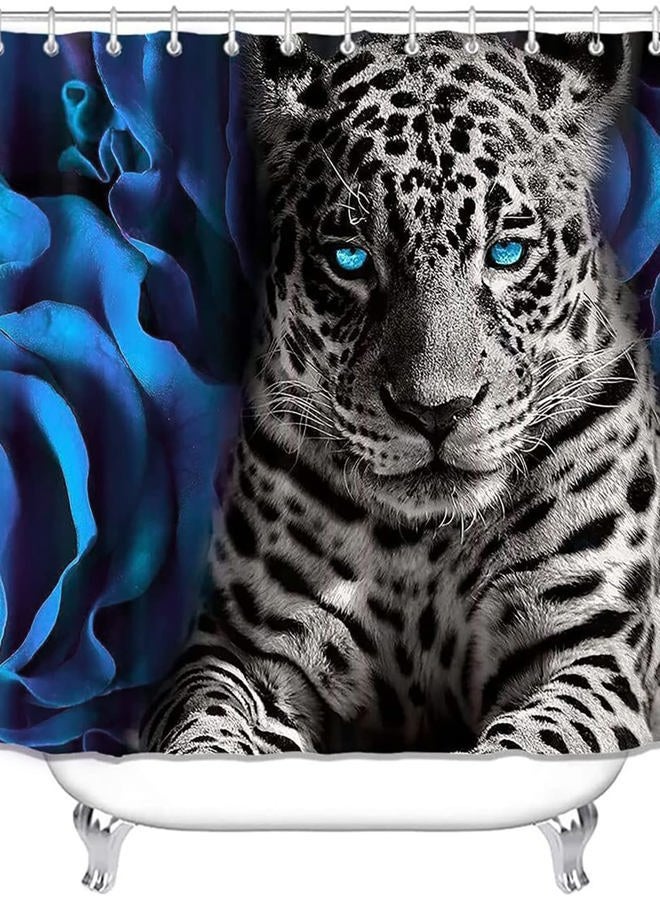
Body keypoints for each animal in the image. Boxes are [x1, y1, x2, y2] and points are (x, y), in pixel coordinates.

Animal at [140, 30, 660, 756]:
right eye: (351, 259)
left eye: (506, 253)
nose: (435, 413)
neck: (424, 547)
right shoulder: (243, 645)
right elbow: (206, 718)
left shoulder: (590, 647)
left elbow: (539, 741)